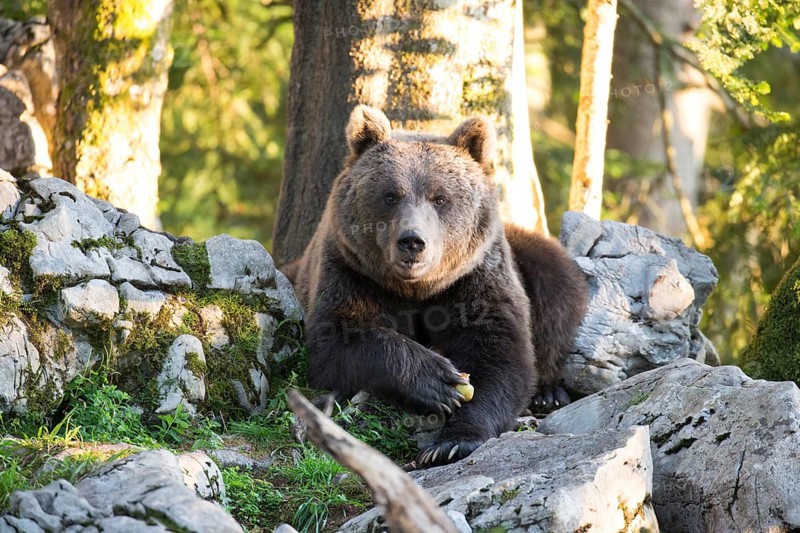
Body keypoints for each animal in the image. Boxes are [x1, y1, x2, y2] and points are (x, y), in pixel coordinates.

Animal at [285, 105, 587, 467]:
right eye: (390, 195)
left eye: (440, 198)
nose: (412, 241)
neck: (418, 289)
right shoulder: (352, 271)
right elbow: (340, 338)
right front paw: (438, 382)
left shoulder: (474, 278)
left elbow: (500, 353)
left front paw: (453, 441)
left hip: (530, 257)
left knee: (557, 291)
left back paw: (548, 393)